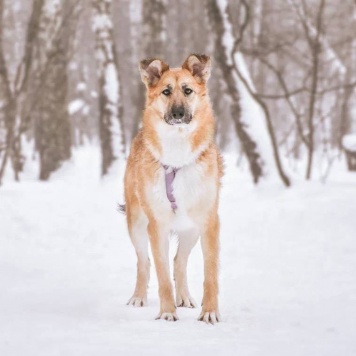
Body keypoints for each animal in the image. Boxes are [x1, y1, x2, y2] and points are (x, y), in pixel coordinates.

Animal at [122, 54, 222, 324]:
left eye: (188, 91)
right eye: (166, 91)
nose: (178, 113)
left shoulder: (208, 223)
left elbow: (210, 274)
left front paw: (209, 312)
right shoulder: (157, 226)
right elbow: (162, 275)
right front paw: (167, 312)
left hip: (191, 230)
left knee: (179, 261)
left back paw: (184, 297)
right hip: (136, 224)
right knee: (143, 262)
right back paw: (138, 296)